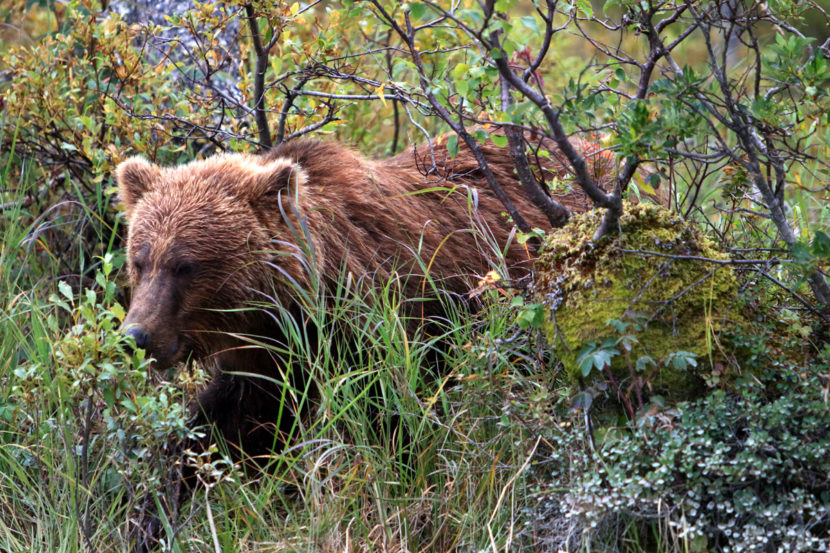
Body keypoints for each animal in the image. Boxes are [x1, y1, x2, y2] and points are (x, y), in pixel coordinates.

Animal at [117, 137, 608, 544]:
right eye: (140, 259)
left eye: (186, 265)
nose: (136, 335)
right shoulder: (269, 363)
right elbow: (224, 429)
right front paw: (153, 515)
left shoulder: (383, 325)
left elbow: (393, 428)